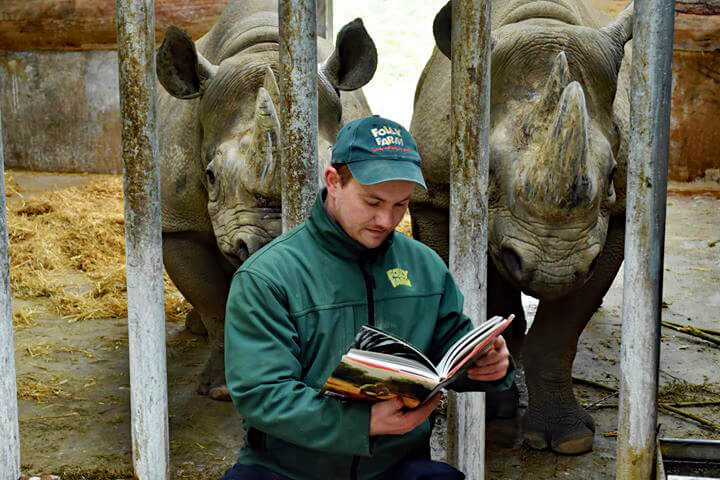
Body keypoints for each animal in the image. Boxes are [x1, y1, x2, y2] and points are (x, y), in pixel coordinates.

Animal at [414, 0, 632, 454]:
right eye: (488, 174)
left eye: (612, 175)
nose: (554, 270)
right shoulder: (435, 198)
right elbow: (486, 306)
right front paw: (493, 425)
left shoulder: (617, 218)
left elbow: (559, 333)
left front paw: (568, 442)